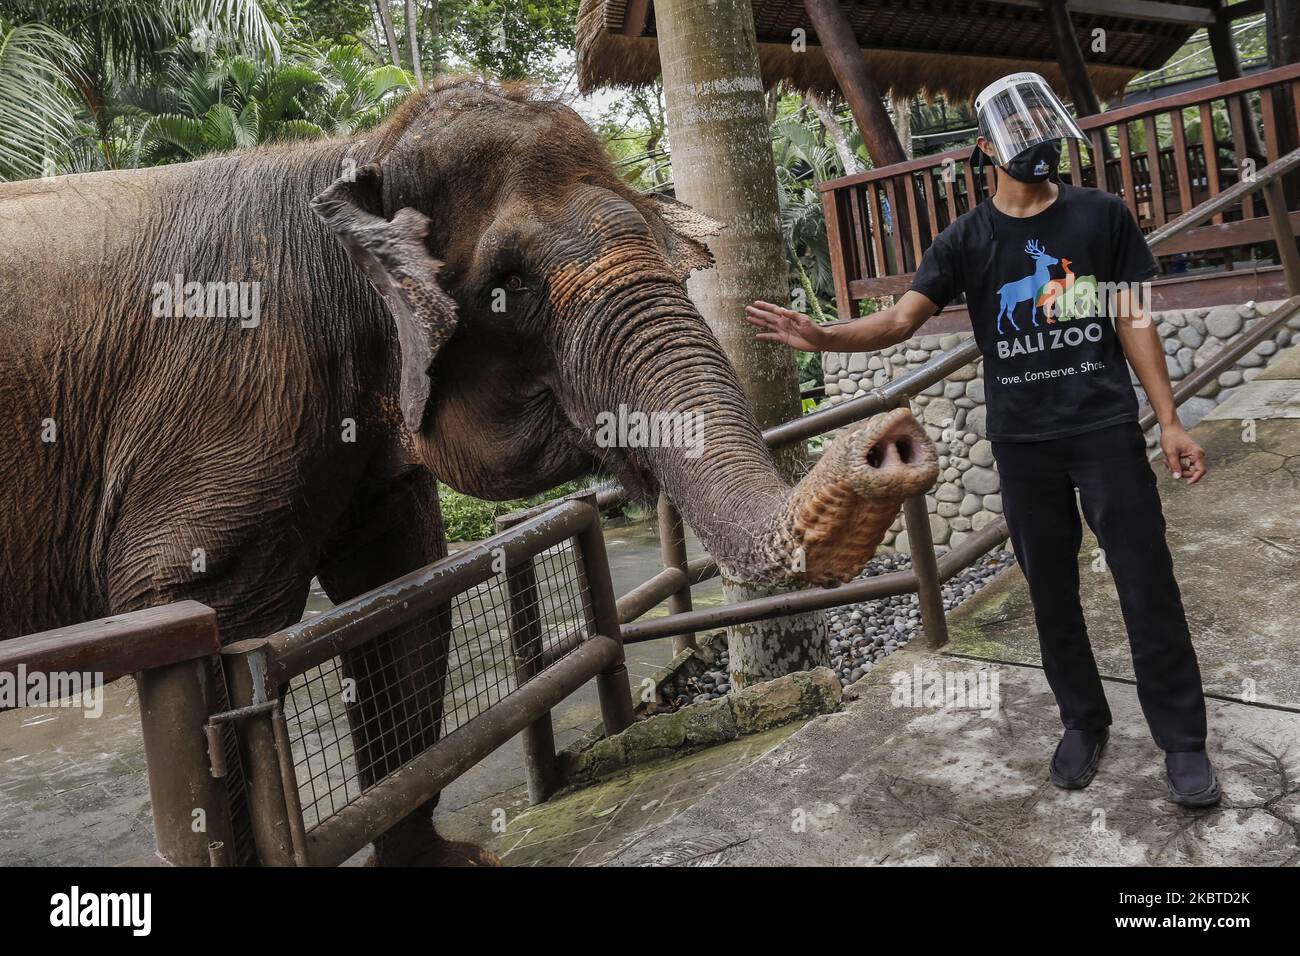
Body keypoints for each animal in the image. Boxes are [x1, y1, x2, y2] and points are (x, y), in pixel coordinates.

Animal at [0, 78, 935, 863]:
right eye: (510, 286)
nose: (891, 439)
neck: (350, 157)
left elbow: (400, 594)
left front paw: (443, 863)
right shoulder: (225, 400)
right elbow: (197, 617)